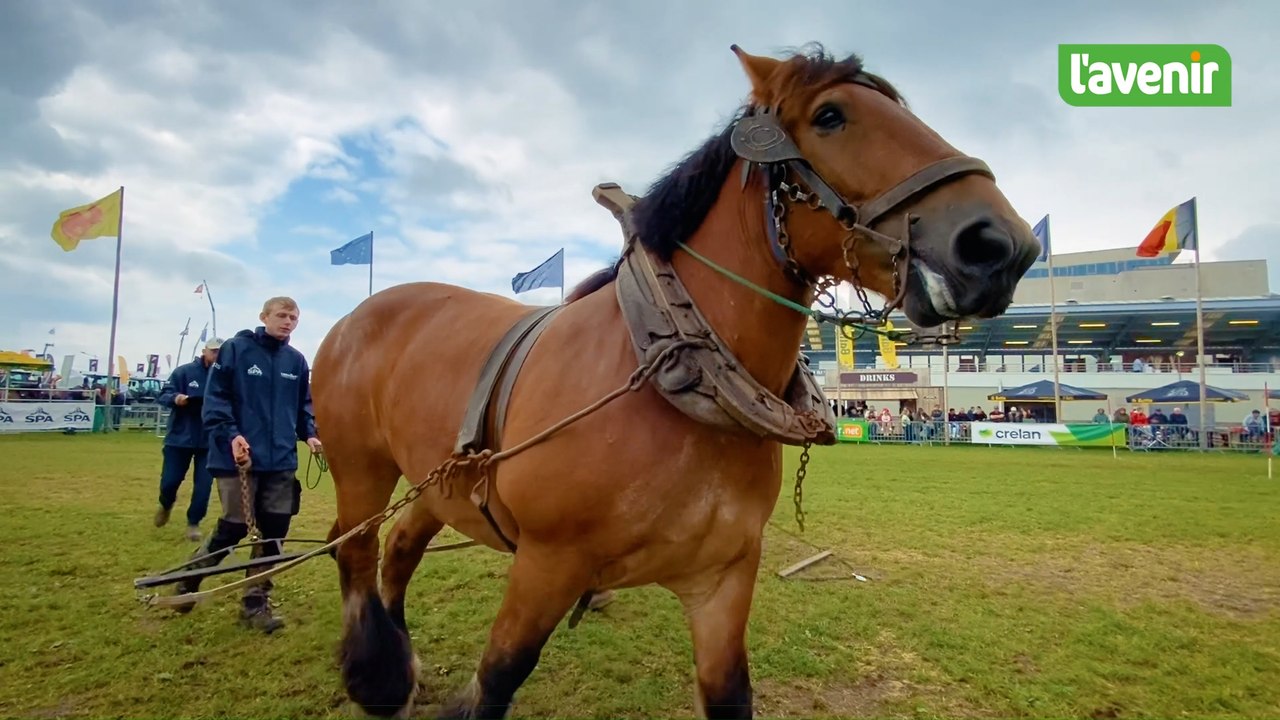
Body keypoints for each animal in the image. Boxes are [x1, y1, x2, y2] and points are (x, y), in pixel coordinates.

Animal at [311, 43, 1040, 719]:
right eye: (830, 116)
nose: (1003, 246)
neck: (675, 374)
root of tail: (354, 316)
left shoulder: (723, 574)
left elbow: (728, 693)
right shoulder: (547, 563)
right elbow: (497, 678)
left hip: (438, 479)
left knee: (400, 548)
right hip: (360, 463)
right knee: (355, 549)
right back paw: (376, 677)